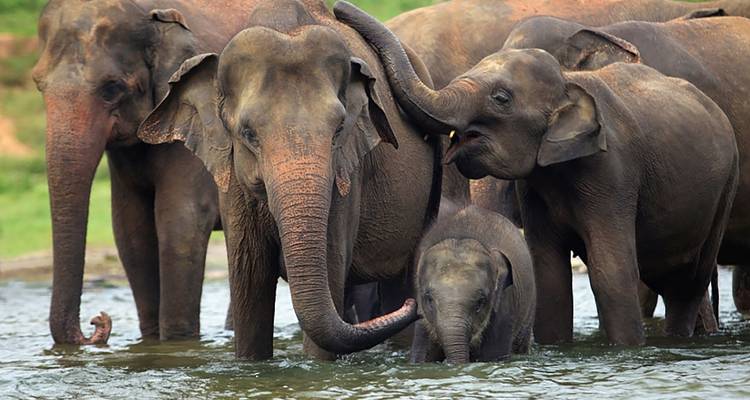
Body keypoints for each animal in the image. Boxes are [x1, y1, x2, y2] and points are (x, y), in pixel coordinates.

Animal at [31, 0, 270, 344]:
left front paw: (178, 343)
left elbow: (181, 222)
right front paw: (151, 341)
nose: (98, 322)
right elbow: (130, 229)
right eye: (39, 84)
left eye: (111, 88)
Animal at [137, 0, 442, 360]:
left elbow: (329, 274)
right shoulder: (232, 181)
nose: (413, 306)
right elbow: (250, 282)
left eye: (339, 129)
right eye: (248, 134)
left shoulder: (346, 178)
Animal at [411, 205, 535, 363]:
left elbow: (493, 355)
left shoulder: (504, 307)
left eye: (480, 302)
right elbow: (420, 356)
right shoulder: (422, 319)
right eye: (429, 299)